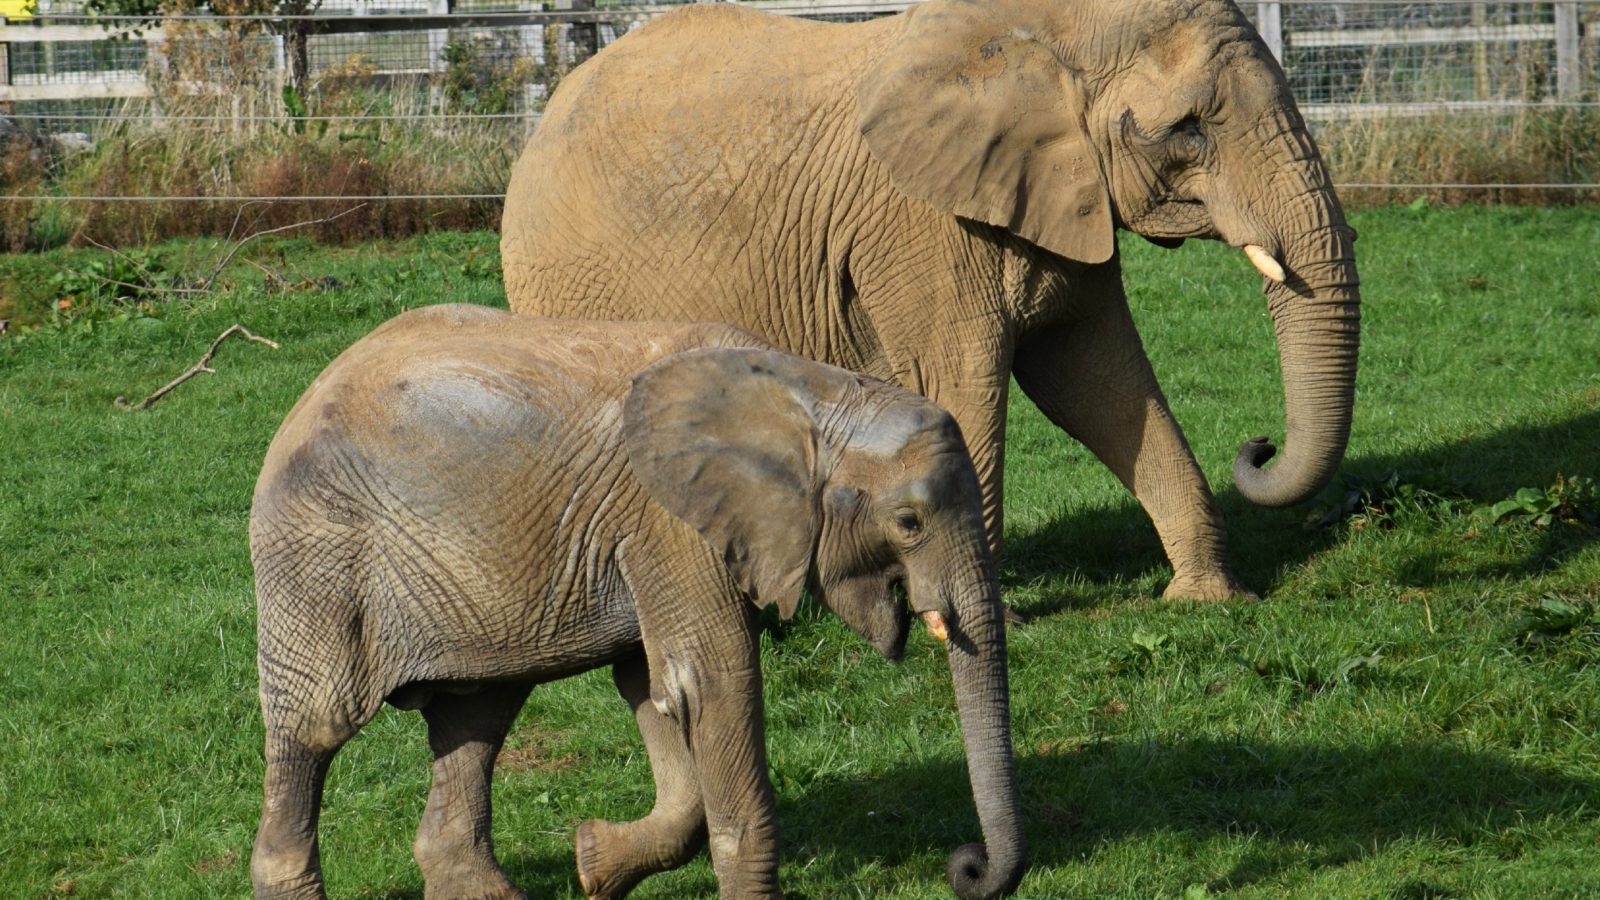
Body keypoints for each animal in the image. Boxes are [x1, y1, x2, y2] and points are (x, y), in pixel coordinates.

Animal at [248, 305, 1025, 900]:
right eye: (909, 523)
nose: (965, 866)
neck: (813, 394)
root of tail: (299, 400)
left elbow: (653, 687)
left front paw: (594, 865)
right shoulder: (672, 523)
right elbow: (710, 681)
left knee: (476, 716)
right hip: (317, 556)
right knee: (315, 728)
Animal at [500, 0, 1361, 601]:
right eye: (1186, 131)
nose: (1257, 446)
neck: (1038, 30)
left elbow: (1099, 383)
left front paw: (1206, 600)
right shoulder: (922, 227)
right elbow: (967, 387)